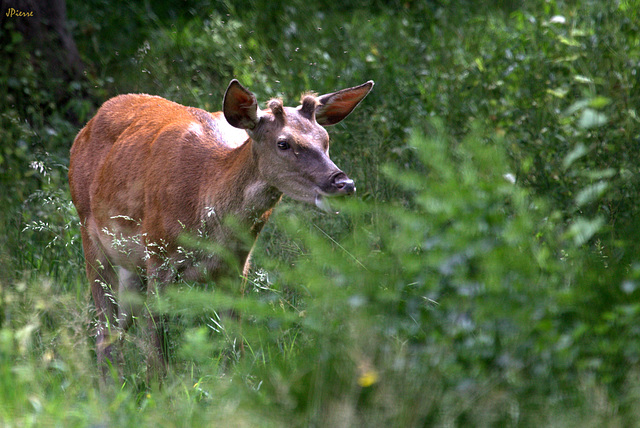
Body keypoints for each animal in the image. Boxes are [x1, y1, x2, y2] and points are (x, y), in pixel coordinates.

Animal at [67, 78, 372, 380]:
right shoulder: (159, 253)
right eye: (283, 143)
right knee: (105, 328)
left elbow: (235, 345)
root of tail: (87, 126)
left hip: (131, 265)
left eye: (325, 139)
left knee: (118, 327)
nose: (343, 183)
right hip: (91, 233)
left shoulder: (237, 264)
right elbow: (157, 354)